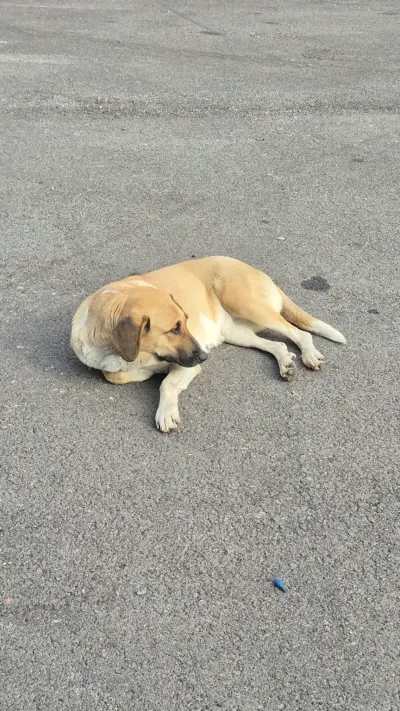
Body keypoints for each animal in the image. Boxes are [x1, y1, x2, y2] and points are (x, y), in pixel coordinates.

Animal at [70, 256, 345, 432]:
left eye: (185, 322)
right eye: (174, 329)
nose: (205, 356)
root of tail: (255, 269)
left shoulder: (187, 365)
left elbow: (166, 383)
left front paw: (166, 412)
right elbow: (115, 375)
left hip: (246, 303)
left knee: (300, 334)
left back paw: (309, 354)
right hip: (234, 331)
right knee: (277, 346)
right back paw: (286, 363)